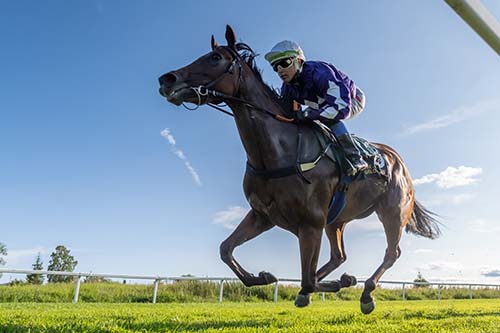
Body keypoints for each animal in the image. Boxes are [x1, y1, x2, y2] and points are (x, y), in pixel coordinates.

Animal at [157, 24, 438, 312]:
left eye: (215, 58)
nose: (167, 79)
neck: (279, 151)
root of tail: (399, 161)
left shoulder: (310, 223)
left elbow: (308, 279)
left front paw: (340, 282)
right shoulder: (263, 215)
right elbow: (226, 249)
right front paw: (264, 277)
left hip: (392, 212)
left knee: (391, 253)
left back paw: (367, 292)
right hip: (336, 221)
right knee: (338, 256)